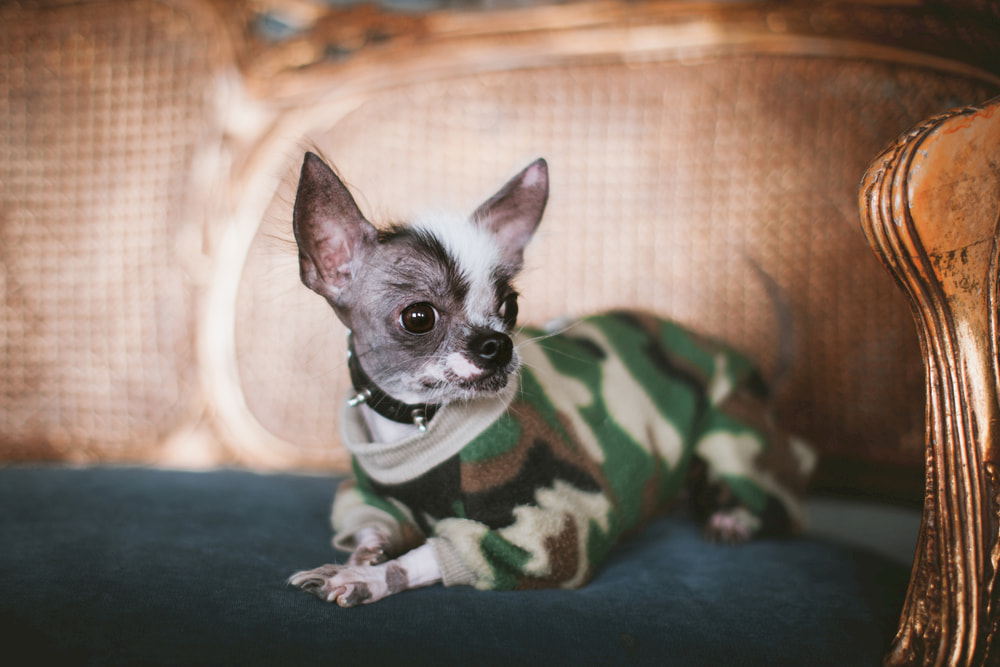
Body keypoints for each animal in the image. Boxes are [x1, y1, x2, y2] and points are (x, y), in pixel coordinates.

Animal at [288, 154, 812, 608]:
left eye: (510, 307)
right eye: (418, 317)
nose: (497, 344)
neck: (416, 421)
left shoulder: (552, 536)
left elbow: (428, 556)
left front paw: (369, 578)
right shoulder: (368, 497)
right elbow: (371, 529)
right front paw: (360, 560)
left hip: (731, 437)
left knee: (775, 498)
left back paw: (733, 518)